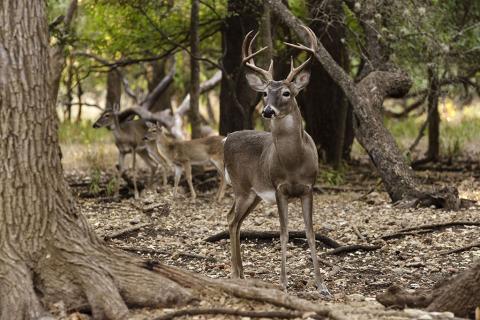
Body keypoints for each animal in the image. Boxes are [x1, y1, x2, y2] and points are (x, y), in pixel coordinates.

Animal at [224, 27, 330, 296]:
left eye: (286, 93)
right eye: (264, 93)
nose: (267, 110)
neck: (294, 163)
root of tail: (226, 139)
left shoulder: (308, 188)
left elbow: (310, 233)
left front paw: (321, 286)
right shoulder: (280, 188)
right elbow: (283, 234)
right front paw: (282, 283)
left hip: (254, 195)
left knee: (235, 220)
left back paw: (241, 272)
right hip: (241, 187)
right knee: (232, 219)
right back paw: (235, 273)